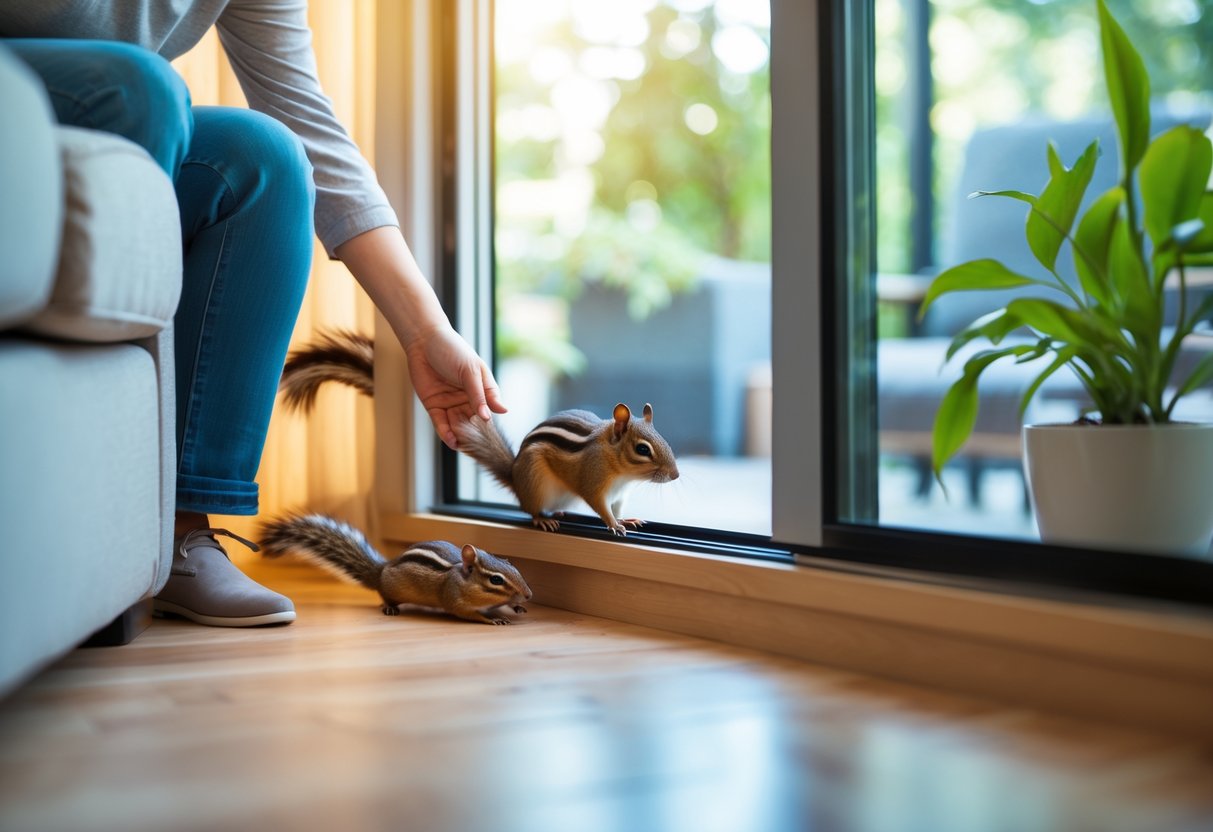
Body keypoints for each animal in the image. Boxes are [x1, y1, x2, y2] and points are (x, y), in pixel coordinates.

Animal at [258, 513, 532, 625]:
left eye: (513, 566)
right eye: (496, 580)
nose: (529, 594)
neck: (460, 578)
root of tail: (381, 571)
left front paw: (517, 607)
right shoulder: (456, 602)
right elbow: (469, 614)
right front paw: (493, 619)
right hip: (391, 590)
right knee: (384, 597)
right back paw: (389, 607)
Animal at [279, 328, 681, 535]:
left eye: (665, 441)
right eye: (643, 449)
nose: (676, 475)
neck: (619, 469)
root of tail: (516, 477)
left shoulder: (620, 492)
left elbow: (618, 505)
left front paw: (626, 518)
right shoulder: (593, 481)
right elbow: (599, 505)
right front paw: (613, 524)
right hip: (536, 483)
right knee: (531, 507)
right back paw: (541, 518)